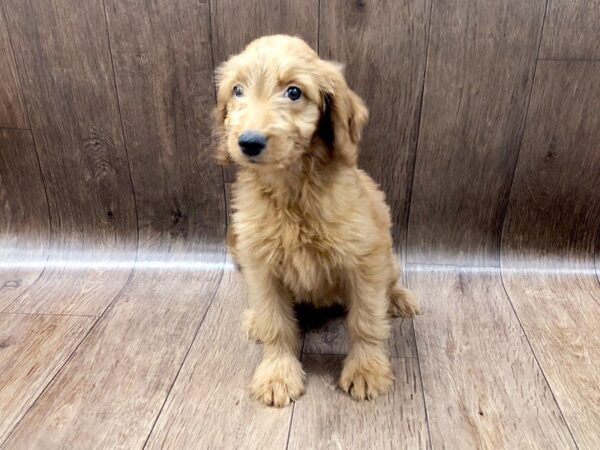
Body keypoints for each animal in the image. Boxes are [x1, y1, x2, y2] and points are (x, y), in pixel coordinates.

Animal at [213, 35, 420, 408]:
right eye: (237, 90)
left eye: (294, 92)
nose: (249, 142)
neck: (293, 191)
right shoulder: (261, 267)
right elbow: (277, 325)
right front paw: (277, 374)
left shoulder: (365, 262)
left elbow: (366, 321)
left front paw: (366, 371)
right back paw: (254, 319)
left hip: (387, 257)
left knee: (390, 282)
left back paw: (399, 299)